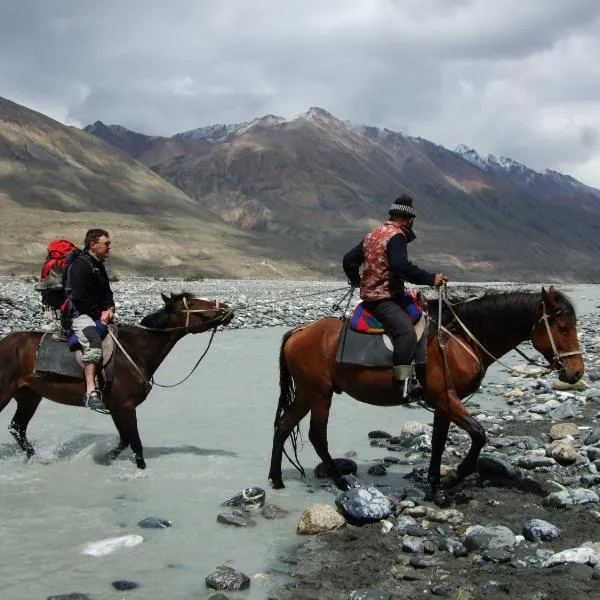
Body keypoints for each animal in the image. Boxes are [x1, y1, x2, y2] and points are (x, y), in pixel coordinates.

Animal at [0, 292, 232, 468]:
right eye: (191, 304)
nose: (227, 308)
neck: (135, 350)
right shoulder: (126, 406)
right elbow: (135, 444)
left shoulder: (116, 408)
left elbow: (124, 440)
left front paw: (105, 458)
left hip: (29, 396)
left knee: (17, 428)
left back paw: (35, 458)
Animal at [268, 288, 584, 504]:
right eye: (563, 327)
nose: (576, 372)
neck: (460, 340)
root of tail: (299, 331)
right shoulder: (445, 397)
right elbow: (479, 435)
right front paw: (454, 477)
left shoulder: (444, 403)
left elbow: (439, 443)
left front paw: (435, 487)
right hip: (319, 394)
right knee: (316, 435)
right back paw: (342, 484)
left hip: (308, 393)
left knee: (283, 426)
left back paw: (276, 479)